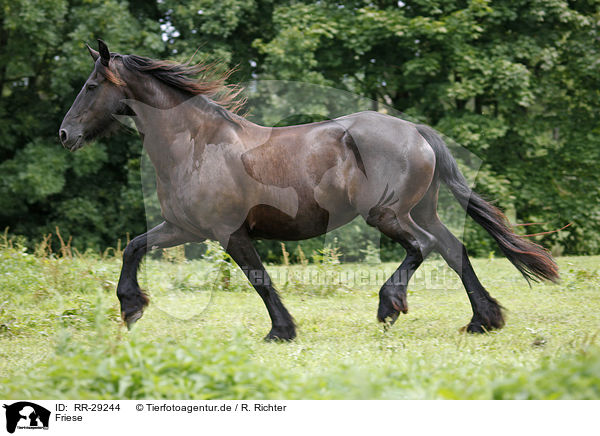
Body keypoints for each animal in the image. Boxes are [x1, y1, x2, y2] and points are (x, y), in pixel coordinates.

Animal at [58, 41, 556, 340]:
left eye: (91, 86)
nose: (65, 134)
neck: (197, 145)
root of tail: (415, 129)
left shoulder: (228, 233)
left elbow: (259, 280)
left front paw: (281, 331)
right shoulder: (183, 228)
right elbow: (133, 246)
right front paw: (131, 308)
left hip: (388, 215)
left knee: (424, 247)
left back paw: (389, 307)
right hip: (421, 210)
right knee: (453, 250)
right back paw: (483, 321)